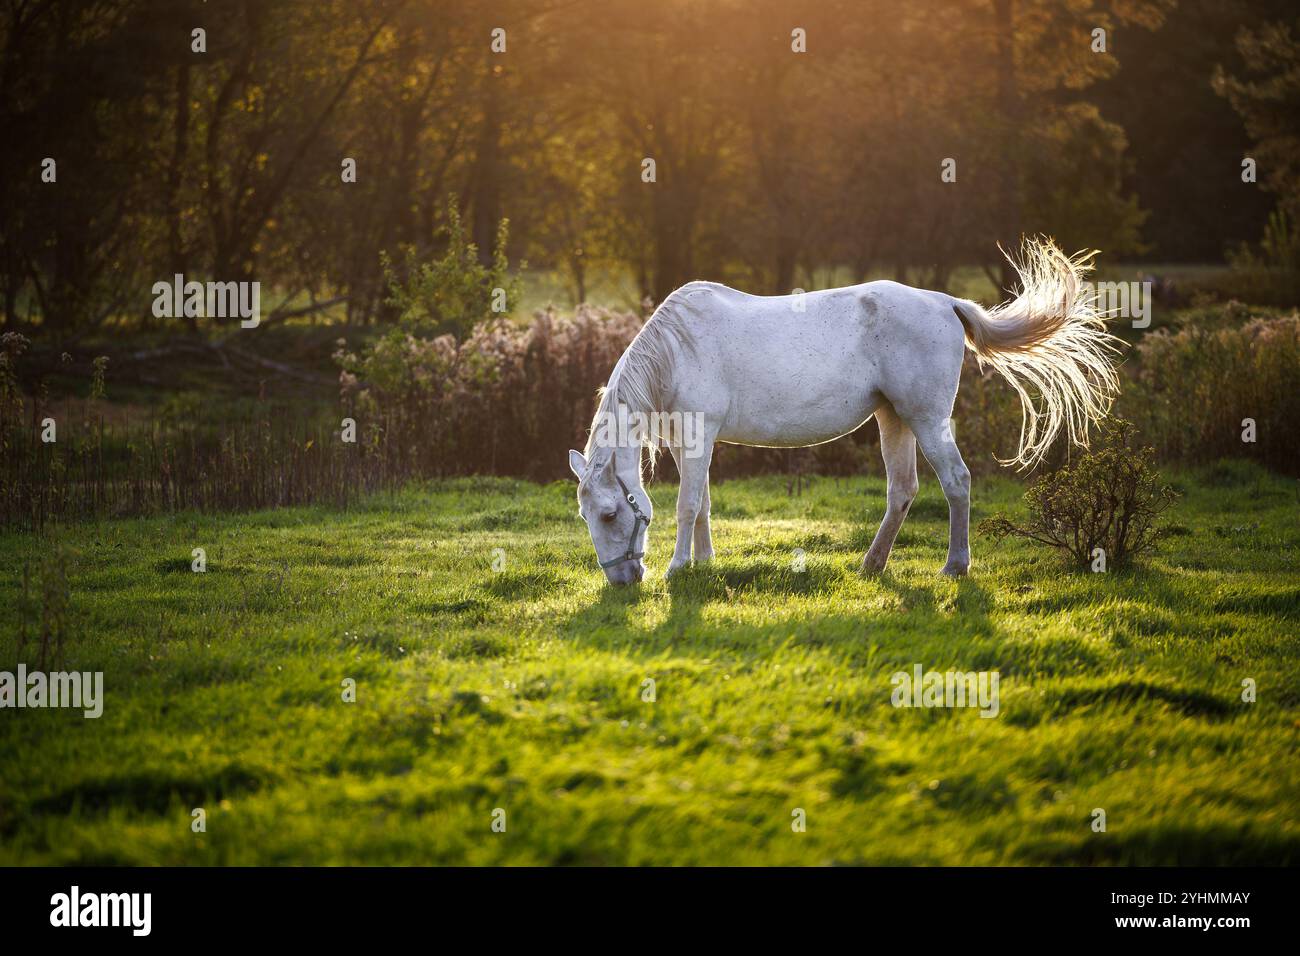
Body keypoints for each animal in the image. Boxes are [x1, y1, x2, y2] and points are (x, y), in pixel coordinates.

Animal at [568, 238, 1121, 584]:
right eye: (586, 515)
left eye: (610, 512)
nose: (622, 579)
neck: (678, 350)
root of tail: (944, 301)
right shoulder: (692, 442)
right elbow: (701, 502)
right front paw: (703, 563)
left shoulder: (699, 437)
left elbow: (686, 505)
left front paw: (678, 568)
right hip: (893, 420)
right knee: (903, 491)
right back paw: (872, 565)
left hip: (925, 419)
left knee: (956, 482)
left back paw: (954, 567)